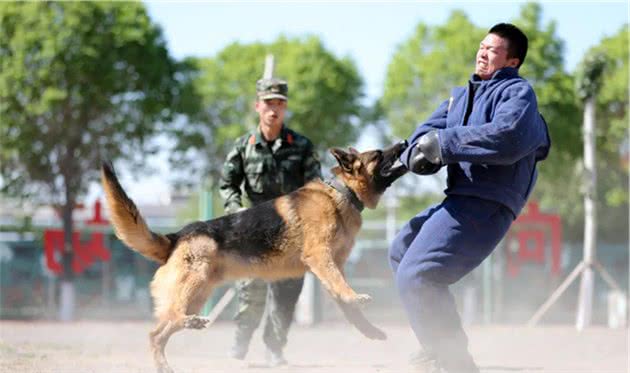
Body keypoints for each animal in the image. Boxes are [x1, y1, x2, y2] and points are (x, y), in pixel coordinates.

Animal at [100, 140, 410, 372]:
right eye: (379, 154)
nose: (404, 143)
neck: (341, 194)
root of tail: (176, 236)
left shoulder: (331, 267)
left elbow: (349, 306)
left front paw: (369, 330)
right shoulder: (322, 259)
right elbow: (345, 290)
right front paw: (357, 298)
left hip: (198, 294)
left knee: (156, 335)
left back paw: (167, 362)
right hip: (194, 284)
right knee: (169, 321)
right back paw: (188, 327)